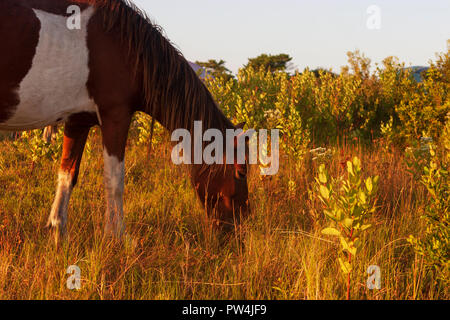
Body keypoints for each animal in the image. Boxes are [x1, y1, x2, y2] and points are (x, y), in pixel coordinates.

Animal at [0, 0, 250, 241]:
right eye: (241, 172)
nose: (239, 230)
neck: (127, 49)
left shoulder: (77, 121)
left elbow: (67, 174)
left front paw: (58, 232)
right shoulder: (116, 116)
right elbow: (115, 181)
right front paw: (118, 236)